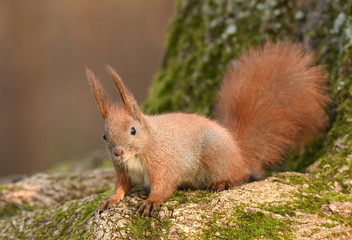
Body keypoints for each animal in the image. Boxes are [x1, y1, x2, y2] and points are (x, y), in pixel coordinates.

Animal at [85, 41, 330, 216]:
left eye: (133, 130)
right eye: (104, 135)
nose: (118, 153)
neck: (146, 144)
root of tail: (239, 151)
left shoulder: (165, 164)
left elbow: (164, 185)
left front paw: (151, 201)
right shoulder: (122, 171)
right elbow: (121, 187)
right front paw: (110, 199)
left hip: (216, 159)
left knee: (241, 175)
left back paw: (223, 182)